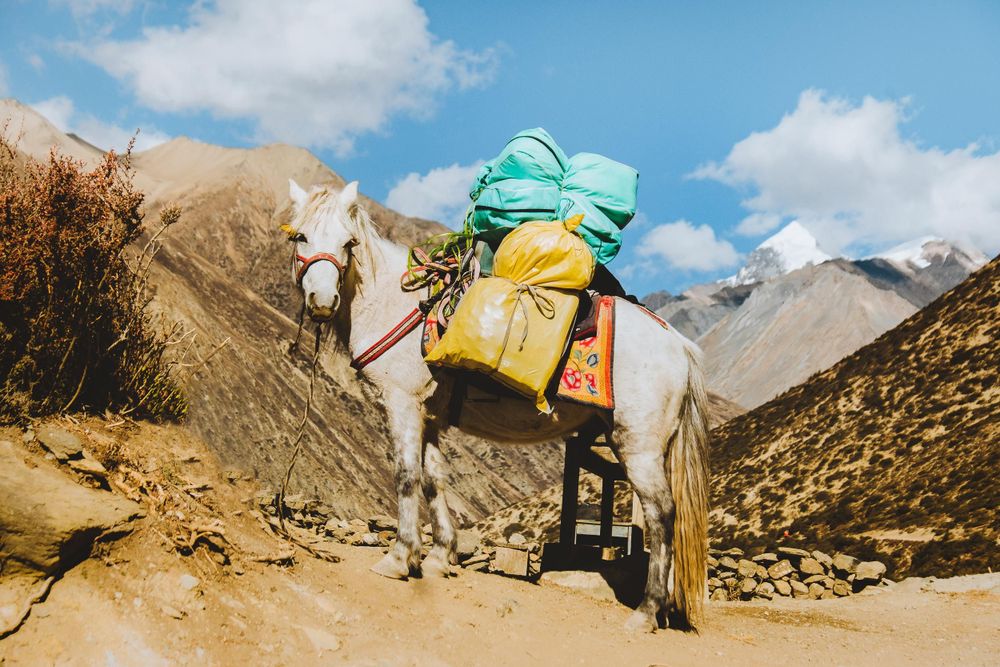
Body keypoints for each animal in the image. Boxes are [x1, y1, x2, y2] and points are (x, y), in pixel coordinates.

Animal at [284, 179, 710, 632]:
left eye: (348, 242)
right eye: (301, 236)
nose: (322, 300)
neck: (392, 304)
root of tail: (678, 345)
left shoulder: (402, 403)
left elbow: (406, 476)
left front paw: (399, 558)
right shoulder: (430, 416)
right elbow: (434, 479)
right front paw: (439, 558)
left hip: (639, 445)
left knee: (662, 514)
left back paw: (646, 611)